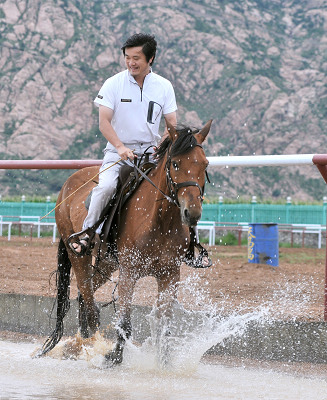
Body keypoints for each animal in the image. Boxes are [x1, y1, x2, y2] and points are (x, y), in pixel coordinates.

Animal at [40, 121, 213, 366]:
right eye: (176, 164)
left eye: (204, 164)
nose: (193, 213)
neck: (159, 220)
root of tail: (68, 184)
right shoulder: (129, 272)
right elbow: (124, 322)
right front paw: (113, 357)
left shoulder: (170, 274)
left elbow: (165, 326)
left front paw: (164, 363)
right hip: (78, 254)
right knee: (89, 301)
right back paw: (90, 345)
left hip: (107, 263)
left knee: (84, 296)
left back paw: (82, 343)